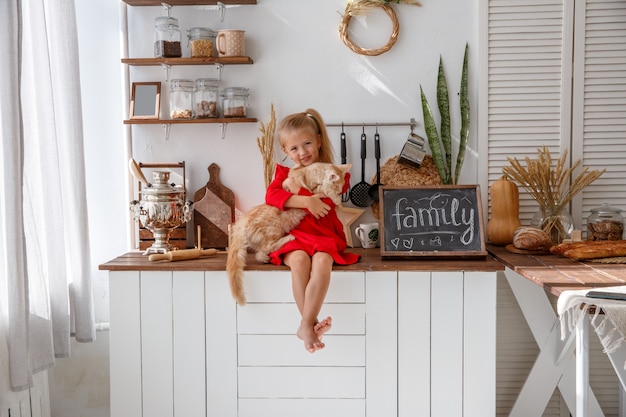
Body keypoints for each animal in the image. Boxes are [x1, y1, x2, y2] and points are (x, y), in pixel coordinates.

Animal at [225, 161, 352, 304]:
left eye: (341, 186)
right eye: (336, 186)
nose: (340, 192)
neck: (312, 171)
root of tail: (242, 223)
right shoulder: (311, 191)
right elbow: (322, 189)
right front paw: (336, 199)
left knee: (260, 253)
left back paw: (266, 258)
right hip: (274, 229)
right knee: (267, 247)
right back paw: (289, 238)